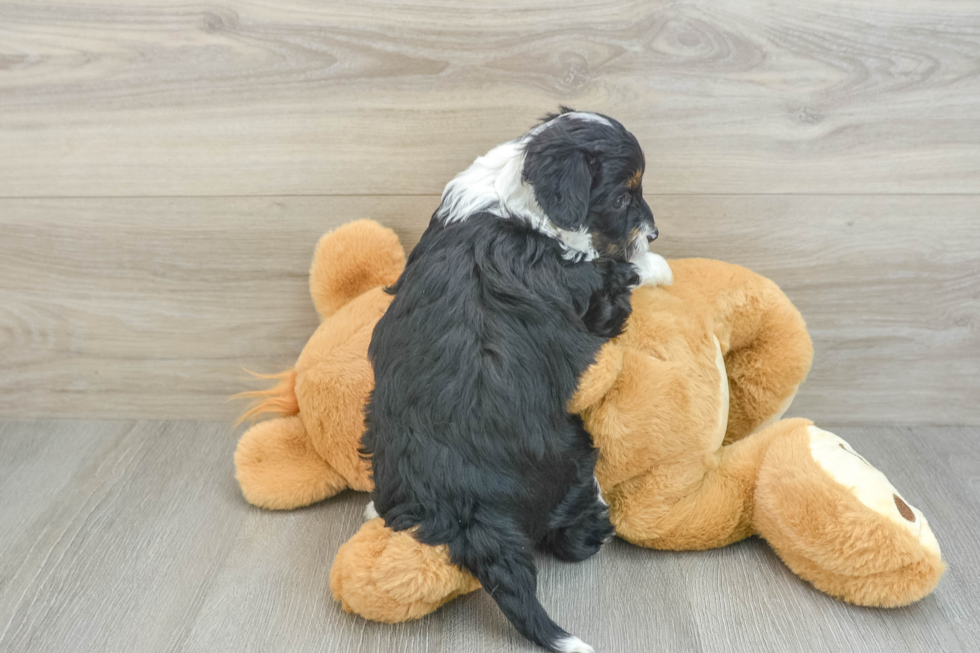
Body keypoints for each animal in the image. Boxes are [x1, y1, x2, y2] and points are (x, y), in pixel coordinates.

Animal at [364, 109, 668, 648]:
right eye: (622, 197)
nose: (653, 233)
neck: (520, 202)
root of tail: (468, 509)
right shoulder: (593, 296)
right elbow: (618, 272)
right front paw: (653, 264)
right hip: (572, 453)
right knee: (571, 535)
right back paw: (600, 516)